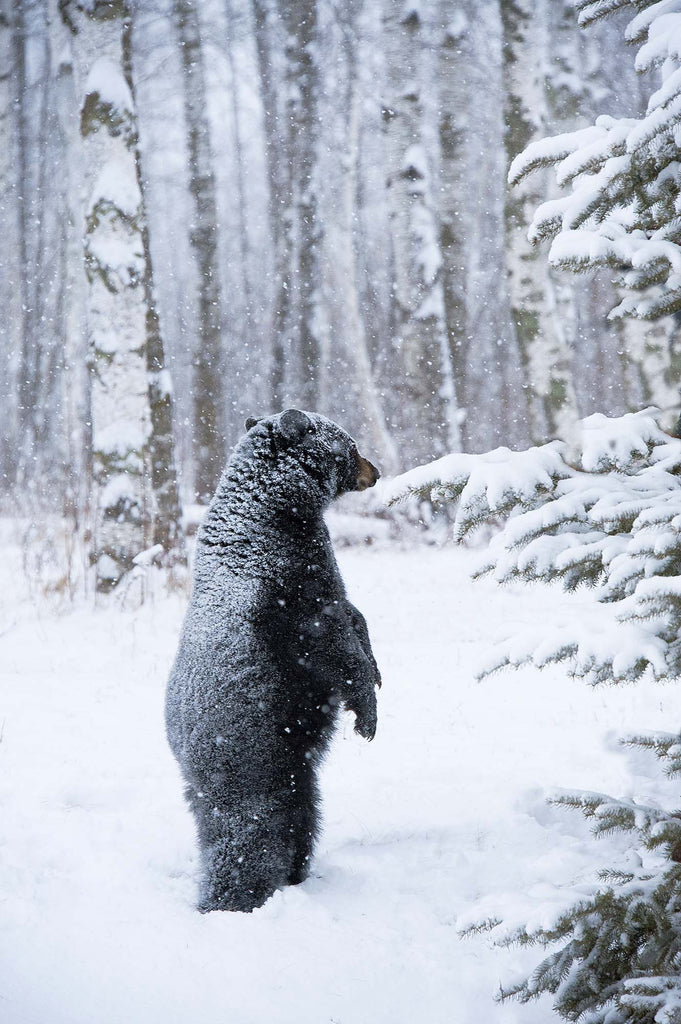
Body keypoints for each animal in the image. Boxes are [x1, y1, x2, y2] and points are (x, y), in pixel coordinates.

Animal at [165, 409, 382, 912]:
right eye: (350, 444)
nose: (376, 470)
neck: (278, 513)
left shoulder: (313, 564)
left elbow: (353, 613)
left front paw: (378, 667)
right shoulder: (286, 587)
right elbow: (330, 642)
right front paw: (367, 710)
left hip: (295, 772)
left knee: (302, 818)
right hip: (252, 762)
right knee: (251, 838)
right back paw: (233, 899)